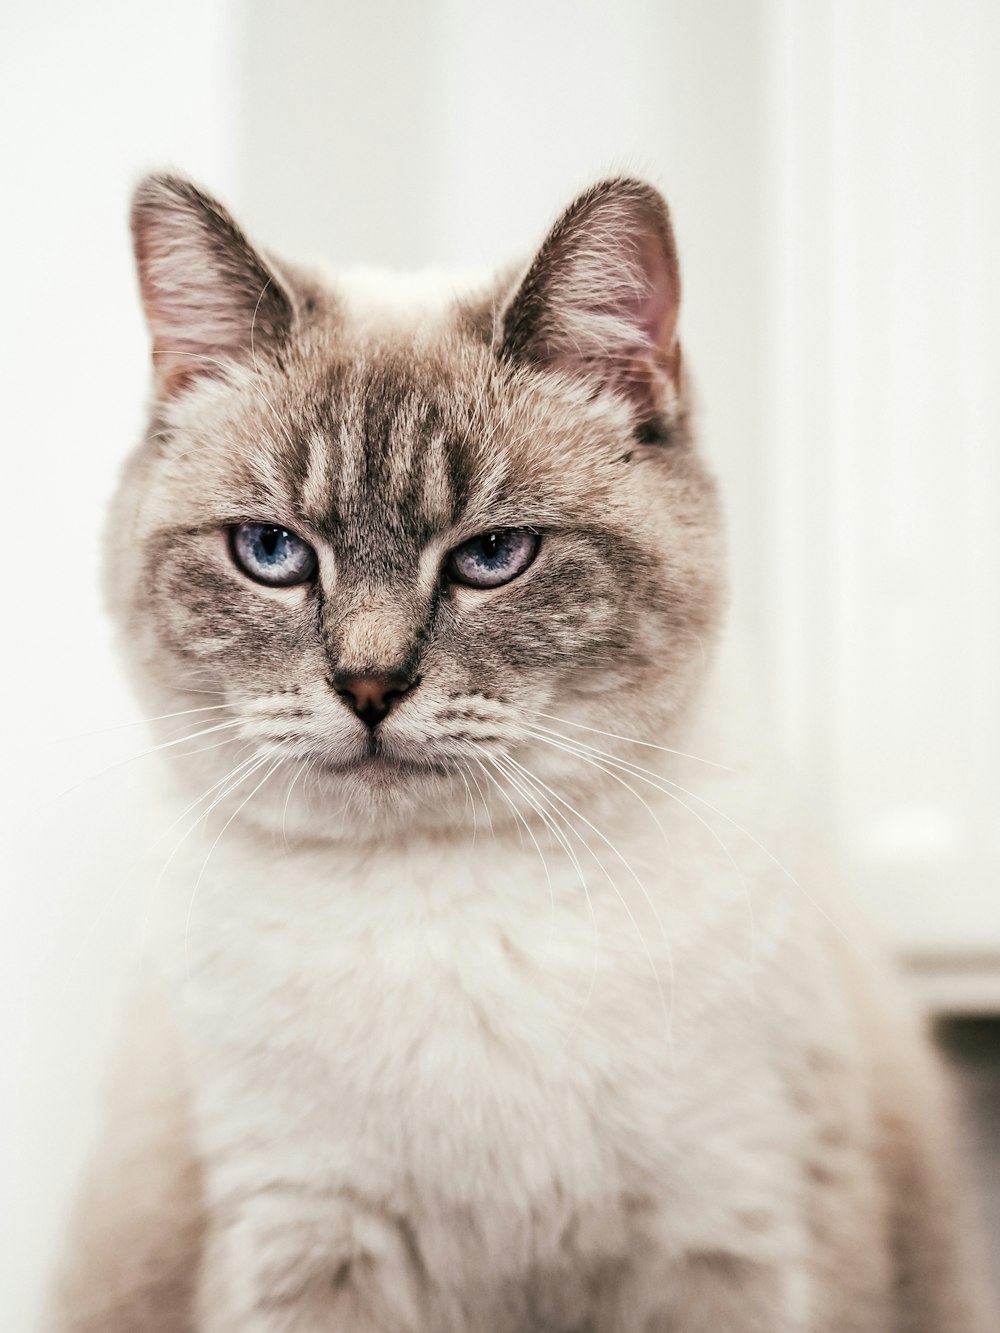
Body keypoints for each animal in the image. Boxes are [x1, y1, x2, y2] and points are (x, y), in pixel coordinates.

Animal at [41, 171, 997, 1327]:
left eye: (493, 556)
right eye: (270, 552)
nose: (369, 688)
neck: (450, 909)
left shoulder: (728, 1227)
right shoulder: (309, 1234)